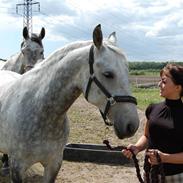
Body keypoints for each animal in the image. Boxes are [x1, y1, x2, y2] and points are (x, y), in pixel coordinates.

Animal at [0, 24, 139, 183]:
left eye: (127, 71)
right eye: (108, 74)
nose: (132, 125)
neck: (40, 110)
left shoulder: (53, 164)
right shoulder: (17, 167)